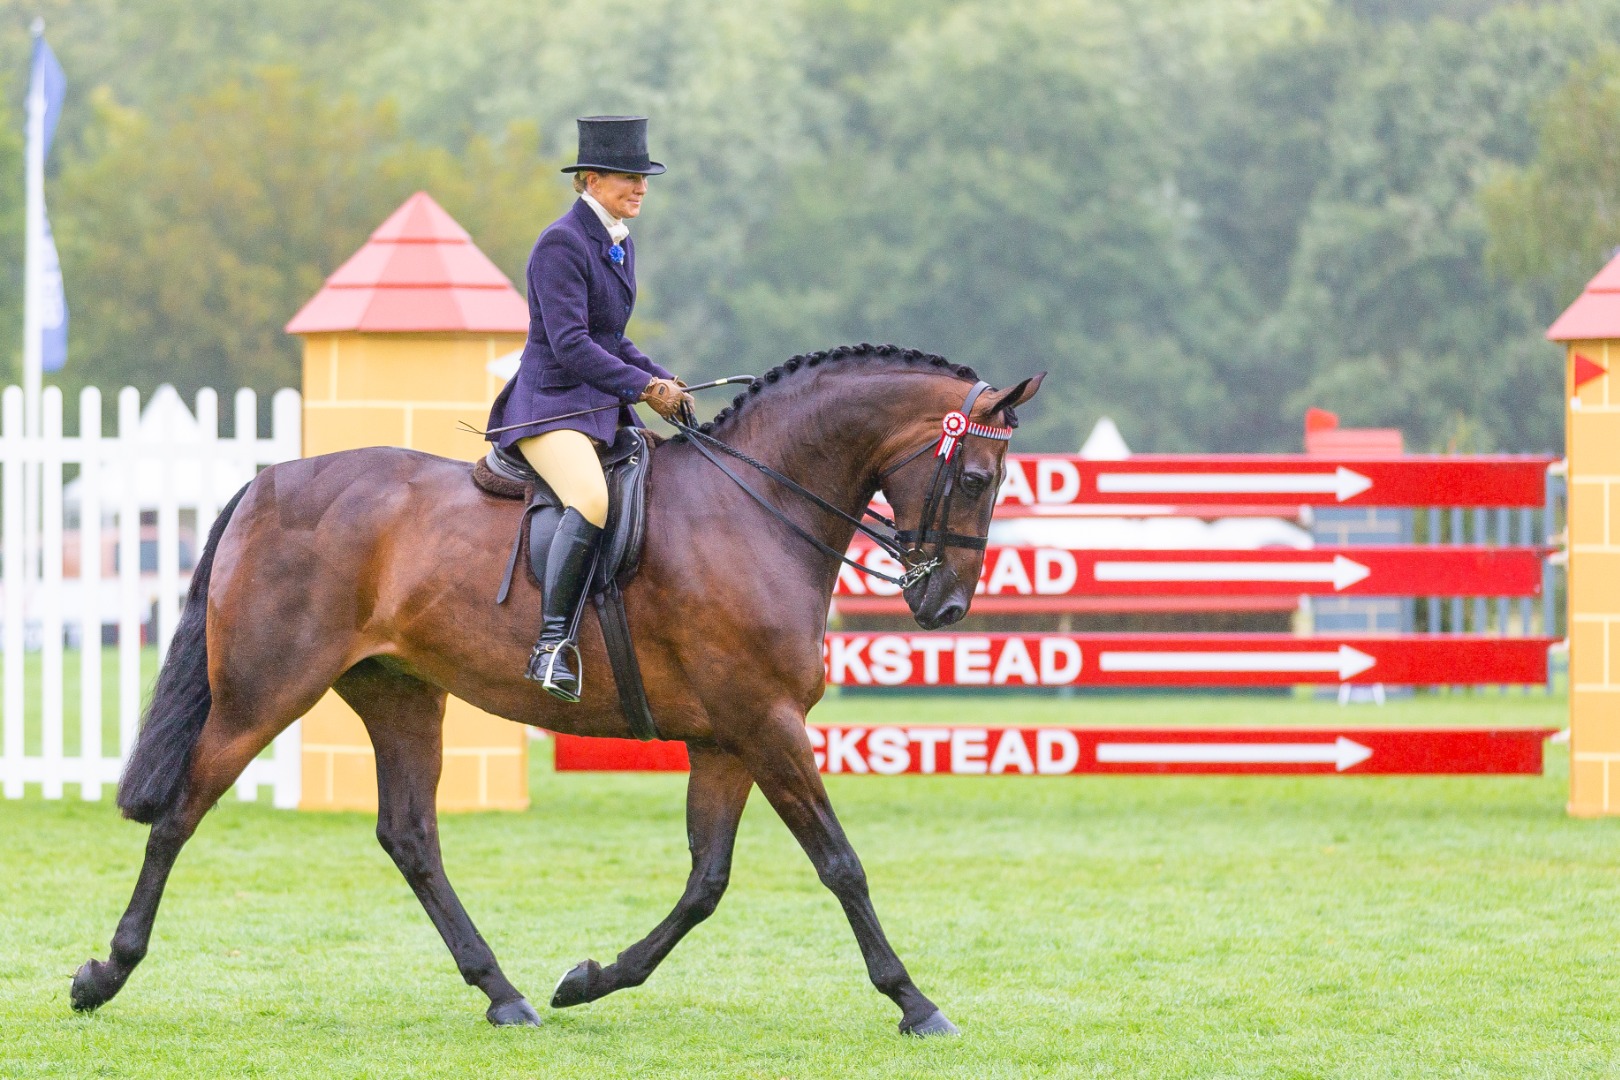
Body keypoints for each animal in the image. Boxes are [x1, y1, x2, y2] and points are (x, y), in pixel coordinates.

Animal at [70, 343, 1044, 1036]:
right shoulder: (766, 726)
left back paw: (503, 992)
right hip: (263, 694)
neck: (754, 511)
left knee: (410, 837)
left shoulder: (728, 739)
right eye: (974, 477)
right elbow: (839, 864)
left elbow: (706, 881)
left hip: (399, 693)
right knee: (181, 814)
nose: (945, 606)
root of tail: (266, 481)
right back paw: (104, 973)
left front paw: (590, 980)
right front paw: (915, 1002)